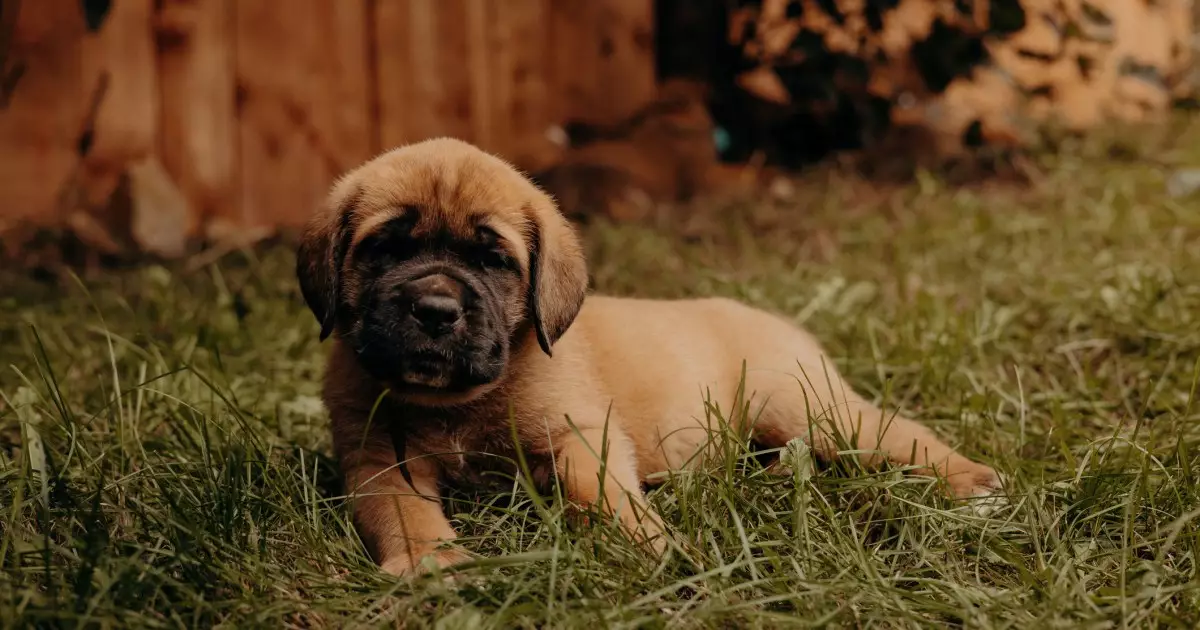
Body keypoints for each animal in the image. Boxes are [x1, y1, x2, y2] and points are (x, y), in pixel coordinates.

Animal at [297, 136, 1003, 573]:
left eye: (493, 260)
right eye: (386, 249)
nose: (436, 309)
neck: (458, 404)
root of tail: (774, 320)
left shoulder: (581, 436)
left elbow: (602, 497)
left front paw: (647, 548)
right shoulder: (378, 460)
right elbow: (403, 514)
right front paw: (429, 562)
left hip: (808, 408)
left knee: (896, 434)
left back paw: (970, 482)